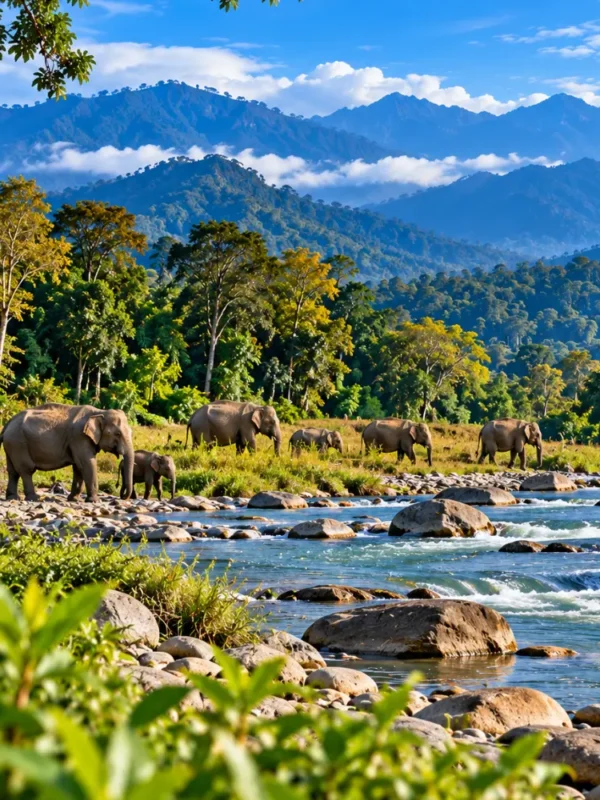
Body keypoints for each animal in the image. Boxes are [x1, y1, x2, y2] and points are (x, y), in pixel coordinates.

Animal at [0, 403, 134, 502]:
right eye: (118, 434)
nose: (123, 497)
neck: (99, 411)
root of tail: (8, 424)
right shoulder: (79, 437)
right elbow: (87, 464)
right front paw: (94, 501)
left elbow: (79, 467)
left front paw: (74, 500)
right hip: (18, 443)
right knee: (26, 470)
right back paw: (33, 498)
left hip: (12, 445)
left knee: (13, 471)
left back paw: (12, 498)